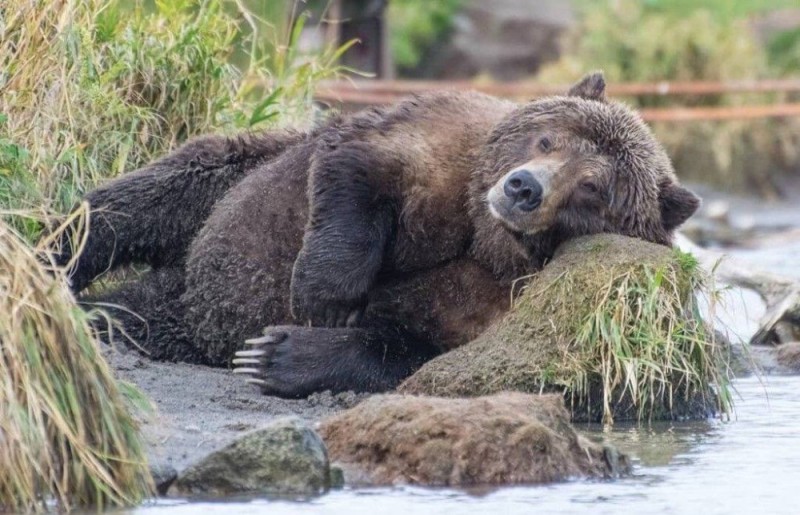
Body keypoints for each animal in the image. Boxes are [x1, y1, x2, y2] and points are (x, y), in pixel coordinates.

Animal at [56, 73, 696, 400]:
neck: (487, 242)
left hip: (186, 312)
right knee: (140, 203)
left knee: (141, 315)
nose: (522, 188)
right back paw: (56, 258)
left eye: (593, 188)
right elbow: (359, 170)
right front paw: (322, 294)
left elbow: (411, 349)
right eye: (547, 139)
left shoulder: (492, 306)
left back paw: (103, 318)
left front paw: (275, 353)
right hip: (235, 175)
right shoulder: (445, 150)